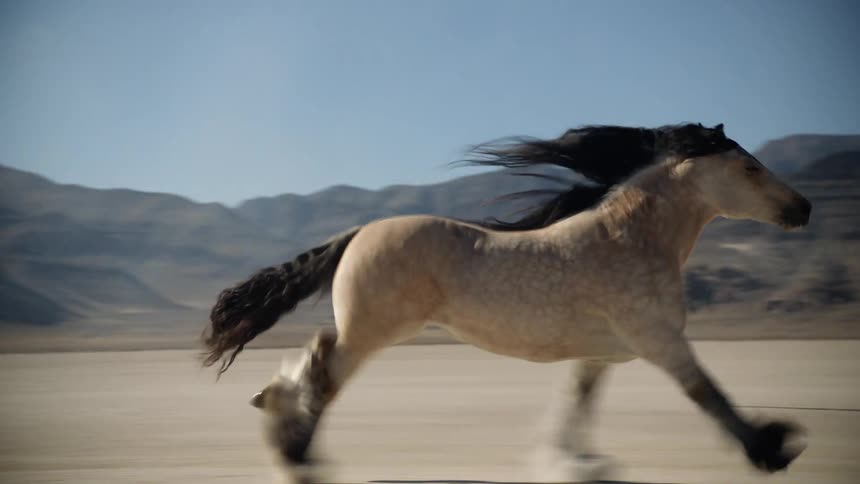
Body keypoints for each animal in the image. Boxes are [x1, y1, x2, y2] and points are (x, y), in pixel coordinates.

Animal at [202, 123, 811, 482]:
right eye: (750, 167)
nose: (802, 208)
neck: (630, 238)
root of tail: (357, 235)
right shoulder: (661, 341)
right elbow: (709, 394)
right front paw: (773, 449)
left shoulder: (603, 354)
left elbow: (576, 406)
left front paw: (576, 463)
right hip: (376, 330)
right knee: (325, 375)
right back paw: (299, 457)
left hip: (370, 328)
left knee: (315, 355)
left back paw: (272, 409)